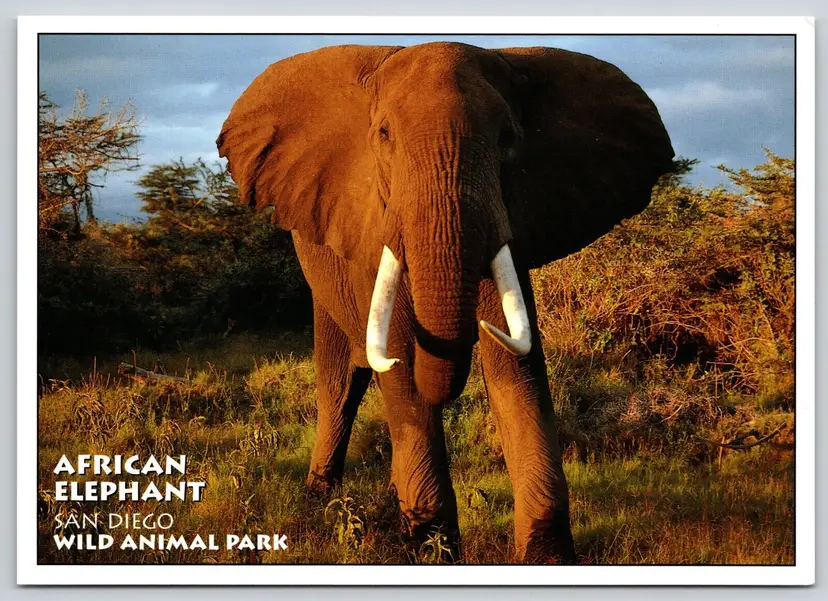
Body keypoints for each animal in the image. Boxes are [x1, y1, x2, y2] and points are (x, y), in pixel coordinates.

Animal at [217, 41, 674, 563]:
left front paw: (545, 556)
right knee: (340, 381)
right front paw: (429, 547)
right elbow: (400, 363)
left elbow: (516, 370)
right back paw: (321, 496)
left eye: (509, 137)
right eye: (384, 135)